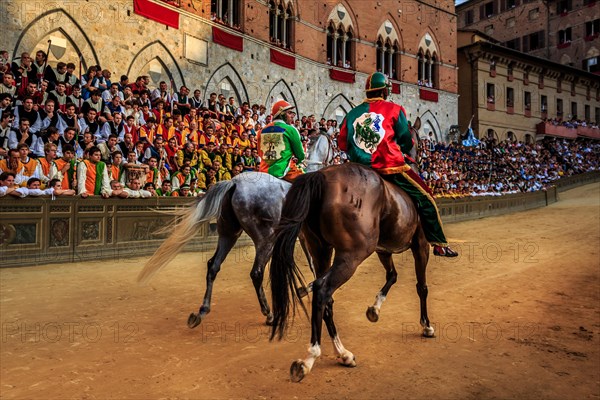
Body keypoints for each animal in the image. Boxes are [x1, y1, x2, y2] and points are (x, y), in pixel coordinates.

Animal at [270, 123, 434, 382]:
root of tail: (321, 177)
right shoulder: (421, 244)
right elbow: (422, 287)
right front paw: (426, 325)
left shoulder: (383, 250)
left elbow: (392, 275)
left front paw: (374, 310)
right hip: (351, 255)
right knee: (323, 289)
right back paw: (310, 358)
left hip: (321, 249)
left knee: (326, 296)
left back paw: (342, 353)